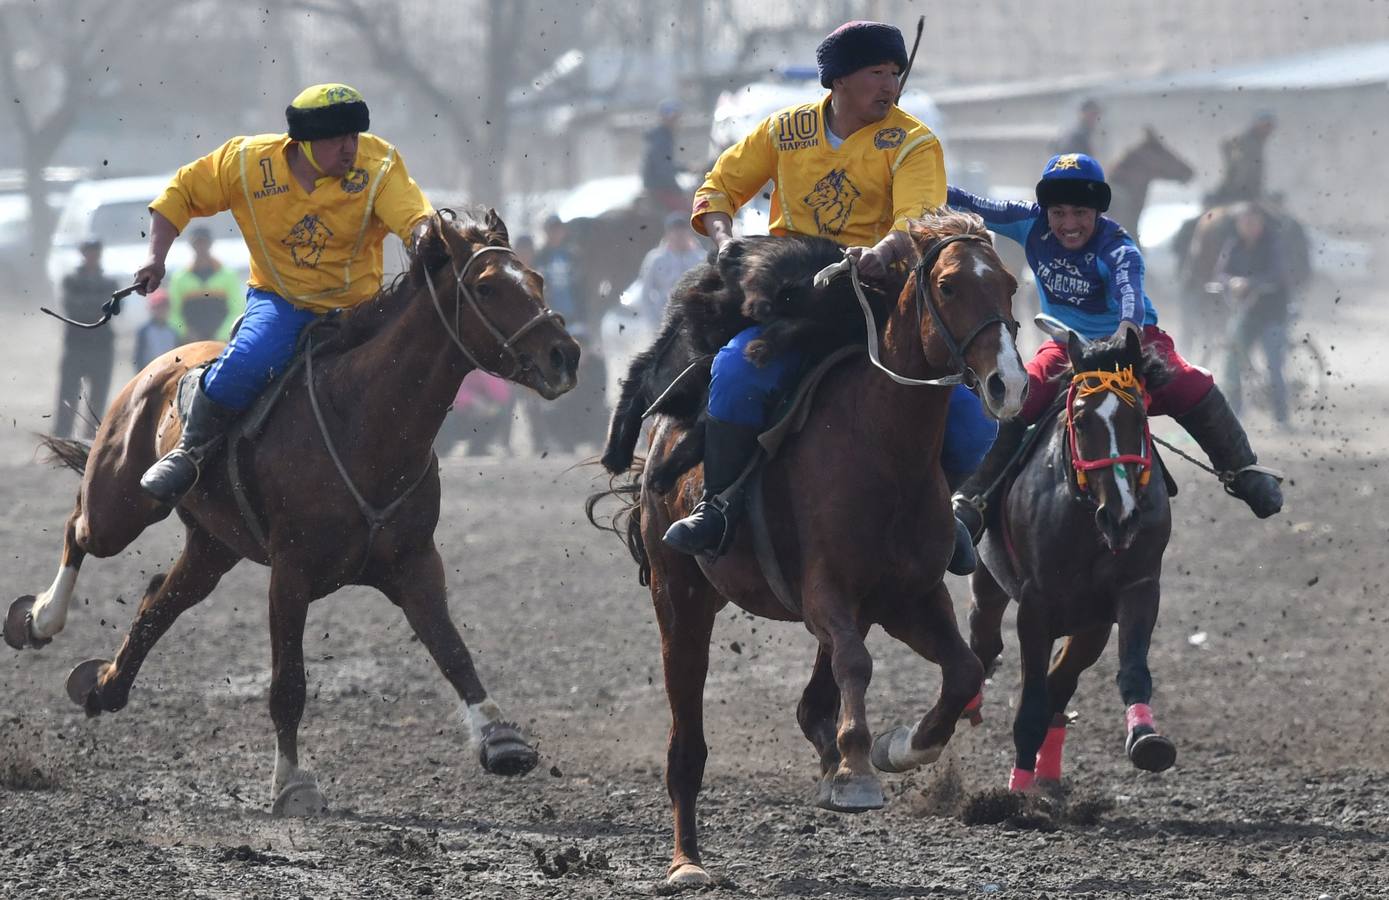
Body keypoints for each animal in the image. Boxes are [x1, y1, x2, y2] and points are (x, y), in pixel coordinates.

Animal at [4, 209, 581, 816]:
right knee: (80, 532)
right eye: (487, 286)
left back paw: (103, 685)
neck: (363, 419)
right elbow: (288, 685)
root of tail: (158, 368)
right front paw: (291, 783)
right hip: (121, 505)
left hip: (214, 547)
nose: (564, 355)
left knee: (158, 601)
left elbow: (453, 653)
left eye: (537, 280)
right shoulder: (291, 572)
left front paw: (502, 738)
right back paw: (38, 619)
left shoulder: (416, 563)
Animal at [597, 212, 1029, 886]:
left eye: (1009, 285)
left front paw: (901, 747)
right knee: (686, 746)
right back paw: (688, 860)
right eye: (951, 286)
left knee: (817, 697)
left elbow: (960, 671)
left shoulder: (910, 597)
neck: (883, 447)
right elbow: (857, 663)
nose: (1008, 384)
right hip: (680, 597)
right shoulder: (823, 589)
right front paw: (855, 771)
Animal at [967, 324, 1176, 793]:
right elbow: (1031, 699)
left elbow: (1130, 670)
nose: (1120, 516)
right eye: (1081, 421)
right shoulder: (1036, 603)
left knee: (1060, 681)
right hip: (989, 584)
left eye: (1138, 418)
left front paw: (1147, 739)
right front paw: (1017, 789)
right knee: (985, 643)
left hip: (1089, 623)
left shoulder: (1136, 589)